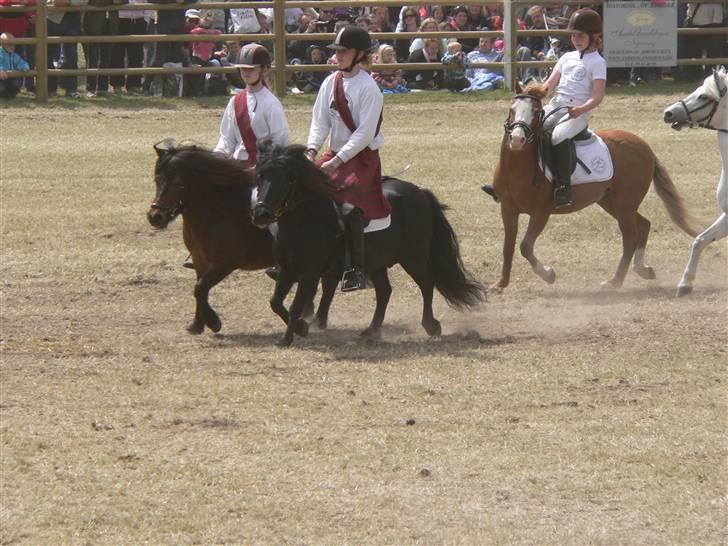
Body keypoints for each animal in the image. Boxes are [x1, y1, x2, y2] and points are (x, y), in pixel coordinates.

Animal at [250, 141, 484, 344]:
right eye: (260, 176)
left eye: (285, 179)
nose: (260, 214)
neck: (308, 220)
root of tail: (420, 192)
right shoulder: (288, 270)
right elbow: (276, 303)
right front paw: (301, 327)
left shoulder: (310, 272)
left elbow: (296, 305)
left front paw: (288, 338)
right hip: (378, 263)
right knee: (384, 291)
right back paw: (372, 331)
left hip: (413, 257)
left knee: (426, 283)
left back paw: (430, 325)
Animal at [490, 82, 700, 288]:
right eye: (511, 109)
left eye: (536, 112)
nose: (517, 139)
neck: (517, 169)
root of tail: (645, 146)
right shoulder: (507, 209)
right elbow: (508, 247)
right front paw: (500, 284)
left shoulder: (541, 212)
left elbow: (525, 246)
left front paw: (548, 274)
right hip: (612, 202)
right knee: (643, 225)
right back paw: (642, 269)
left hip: (624, 205)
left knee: (630, 238)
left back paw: (615, 282)